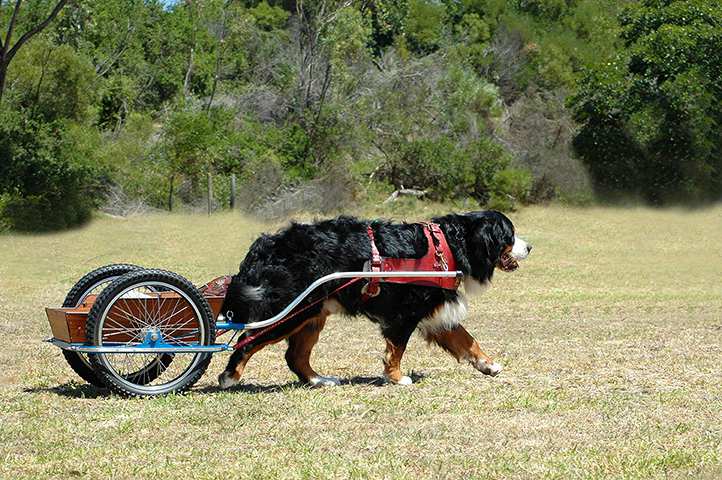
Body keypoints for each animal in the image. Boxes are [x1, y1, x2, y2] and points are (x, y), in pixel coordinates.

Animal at [218, 209, 528, 386]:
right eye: (510, 235)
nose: (530, 247)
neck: (449, 246)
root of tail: (266, 244)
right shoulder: (405, 314)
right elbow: (397, 350)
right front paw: (397, 377)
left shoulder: (436, 314)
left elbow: (468, 340)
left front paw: (489, 365)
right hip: (291, 310)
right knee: (247, 340)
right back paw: (229, 377)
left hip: (312, 314)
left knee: (295, 356)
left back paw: (319, 380)